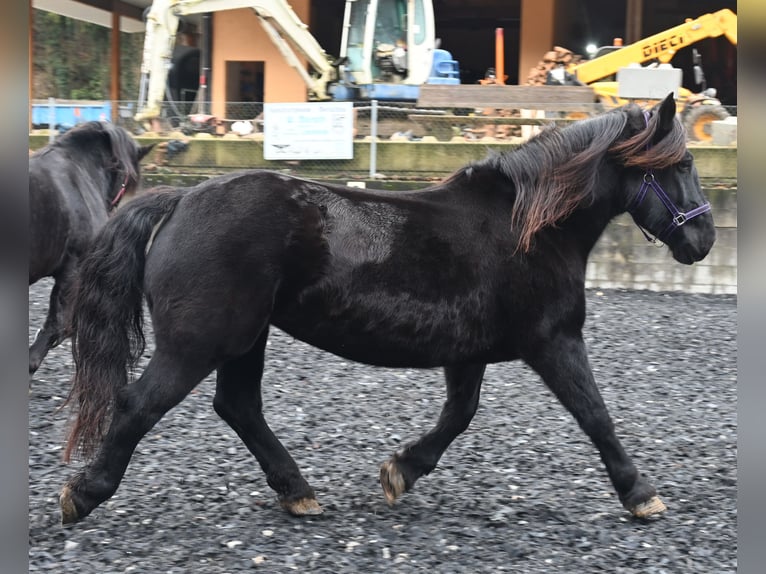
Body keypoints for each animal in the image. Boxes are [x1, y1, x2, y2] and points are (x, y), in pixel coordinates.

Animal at [58, 95, 712, 528]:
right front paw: (641, 494)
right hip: (201, 341)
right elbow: (595, 416)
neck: (527, 229)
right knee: (140, 404)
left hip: (245, 338)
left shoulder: (468, 353)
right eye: (681, 166)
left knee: (238, 407)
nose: (702, 240)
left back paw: (298, 492)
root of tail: (182, 198)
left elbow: (458, 417)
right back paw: (82, 495)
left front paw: (400, 471)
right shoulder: (554, 341)